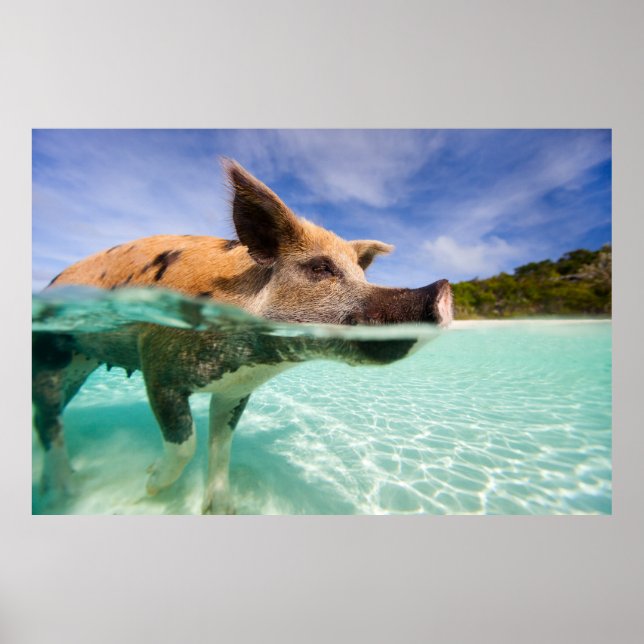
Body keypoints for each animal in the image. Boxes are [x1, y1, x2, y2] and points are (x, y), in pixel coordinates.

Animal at [32, 159, 453, 514]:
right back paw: (67, 491)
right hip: (51, 351)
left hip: (81, 362)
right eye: (320, 268)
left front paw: (223, 510)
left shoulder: (235, 390)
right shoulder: (157, 366)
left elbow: (222, 445)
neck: (257, 357)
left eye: (362, 275)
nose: (443, 289)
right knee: (49, 417)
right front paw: (149, 485)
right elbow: (185, 442)